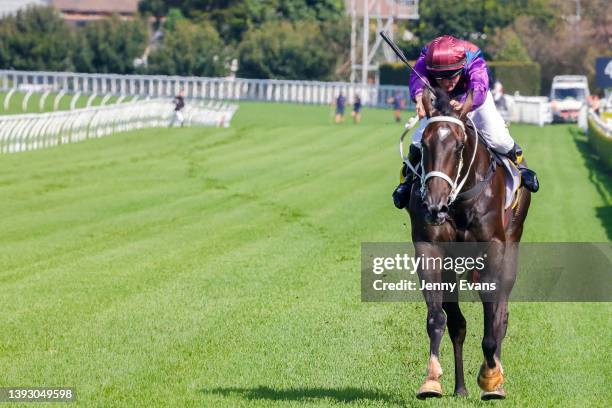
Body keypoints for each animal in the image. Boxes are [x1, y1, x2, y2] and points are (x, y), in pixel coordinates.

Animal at [408, 88, 532, 398]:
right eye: (423, 145)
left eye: (459, 145)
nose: (434, 205)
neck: (459, 201)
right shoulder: (429, 248)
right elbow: (439, 318)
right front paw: (432, 379)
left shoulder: (494, 248)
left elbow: (493, 320)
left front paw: (491, 378)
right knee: (458, 324)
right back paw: (460, 387)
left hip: (513, 241)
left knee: (501, 315)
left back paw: (496, 375)